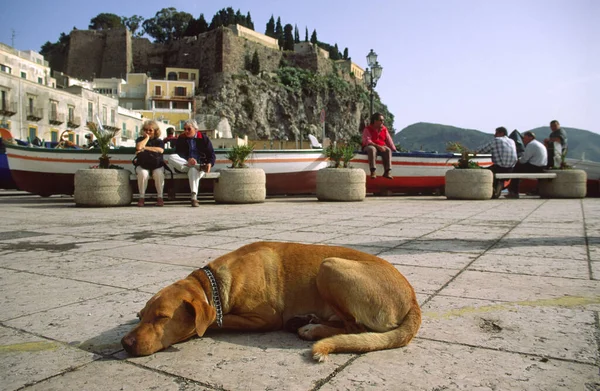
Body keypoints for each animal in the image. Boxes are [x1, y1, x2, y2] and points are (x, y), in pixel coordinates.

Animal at [122, 240, 422, 362]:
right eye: (140, 316)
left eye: (161, 317)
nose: (125, 344)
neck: (213, 285)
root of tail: (413, 299)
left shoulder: (265, 318)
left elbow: (218, 321)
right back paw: (306, 320)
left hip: (328, 266)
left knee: (355, 327)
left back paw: (311, 328)